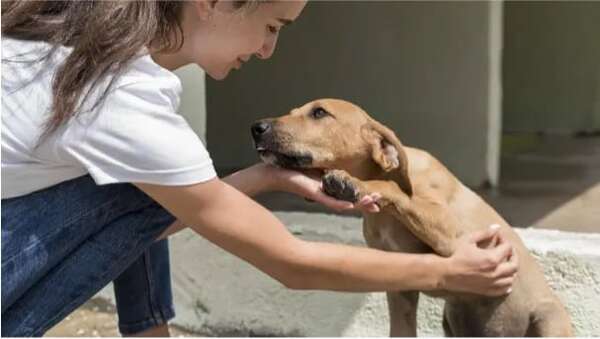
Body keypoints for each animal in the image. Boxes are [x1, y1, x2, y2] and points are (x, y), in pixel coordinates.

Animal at [251, 98, 576, 338]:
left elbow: (394, 190)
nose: (256, 127)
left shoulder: (452, 234)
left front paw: (352, 183)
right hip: (453, 318)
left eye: (319, 112)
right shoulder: (400, 288)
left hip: (547, 318)